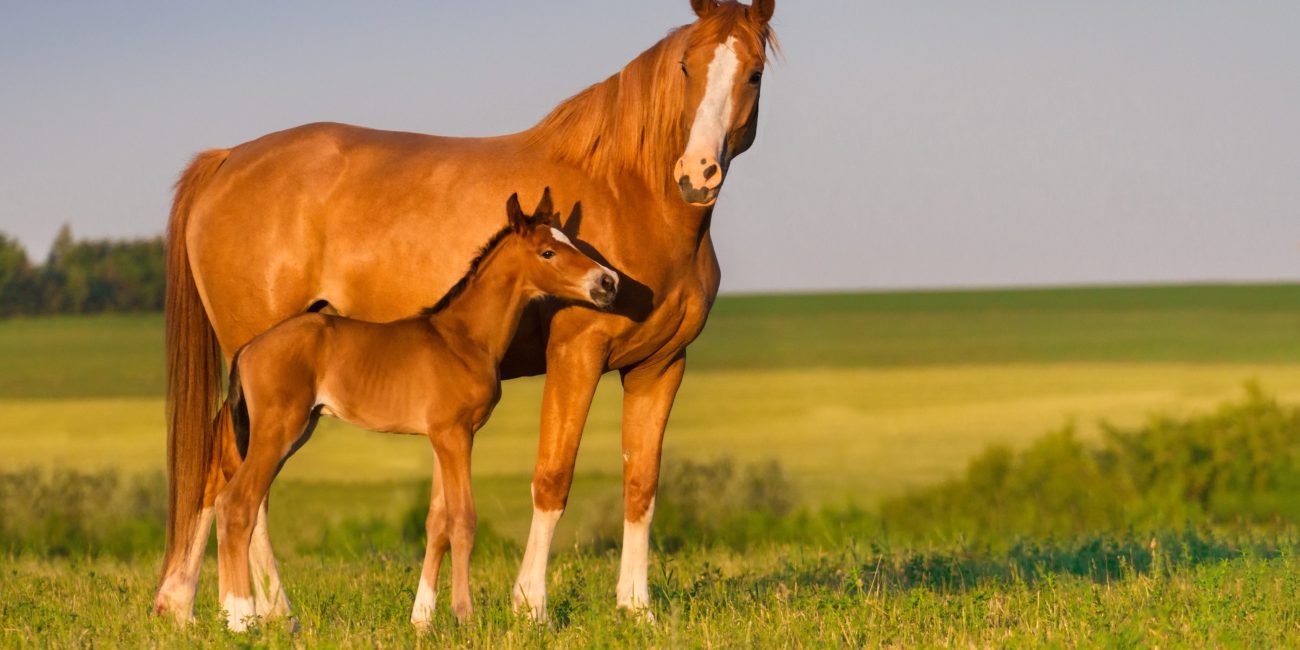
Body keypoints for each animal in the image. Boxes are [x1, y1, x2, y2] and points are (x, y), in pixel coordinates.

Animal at [215, 192, 616, 629]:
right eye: (548, 252)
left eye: (571, 242)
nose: (607, 283)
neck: (463, 338)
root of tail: (248, 349)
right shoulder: (455, 435)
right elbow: (463, 519)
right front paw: (465, 616)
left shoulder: (443, 437)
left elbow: (437, 521)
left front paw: (424, 620)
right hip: (277, 432)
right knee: (237, 504)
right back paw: (240, 620)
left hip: (294, 432)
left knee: (236, 504)